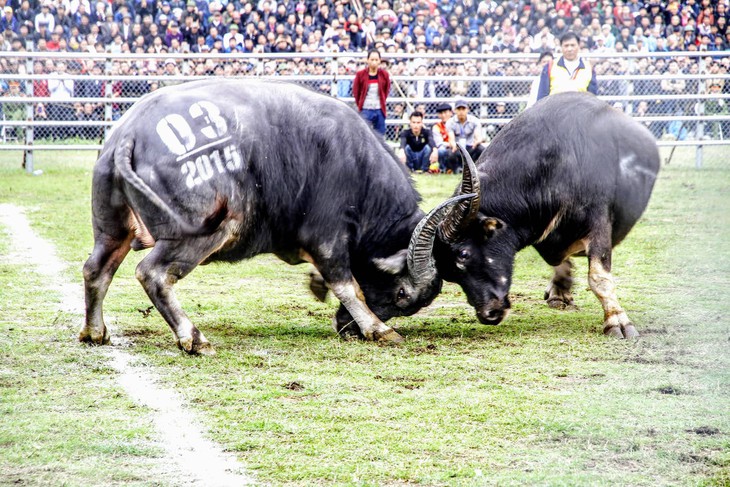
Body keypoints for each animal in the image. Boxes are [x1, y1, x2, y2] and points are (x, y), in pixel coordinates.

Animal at [79, 79, 466, 354]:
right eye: (402, 294)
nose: (346, 327)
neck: (357, 167)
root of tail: (129, 135)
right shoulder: (328, 237)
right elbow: (347, 284)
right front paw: (379, 329)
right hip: (202, 232)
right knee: (153, 273)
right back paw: (194, 339)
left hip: (112, 230)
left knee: (96, 269)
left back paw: (95, 332)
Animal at [432, 92, 660, 340]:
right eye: (448, 273)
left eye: (463, 254)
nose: (488, 314)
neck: (554, 167)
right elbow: (557, 260)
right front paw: (561, 286)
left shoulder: (599, 222)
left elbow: (598, 278)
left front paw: (616, 321)